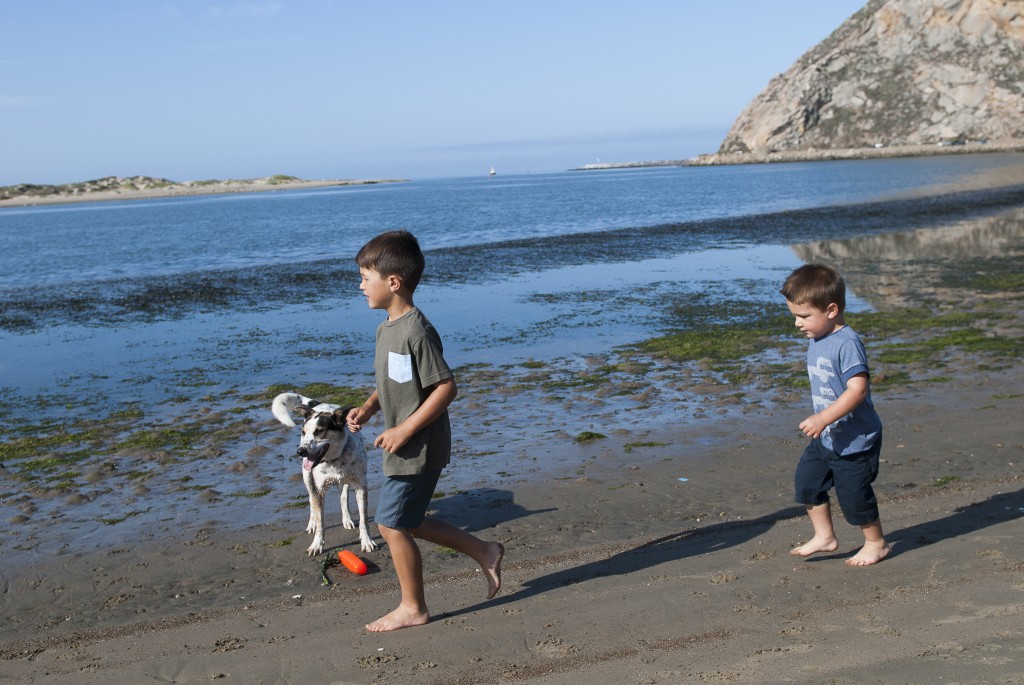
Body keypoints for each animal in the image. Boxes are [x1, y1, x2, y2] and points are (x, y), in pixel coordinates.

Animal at [272, 393, 376, 552]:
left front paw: (366, 541)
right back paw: (312, 524)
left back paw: (347, 519)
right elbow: (320, 521)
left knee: (343, 496)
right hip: (307, 477)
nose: (300, 451)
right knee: (311, 500)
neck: (333, 459)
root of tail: (318, 404)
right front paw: (317, 544)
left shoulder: (360, 485)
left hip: (347, 479)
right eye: (303, 432)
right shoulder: (319, 490)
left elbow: (364, 519)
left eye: (319, 431)